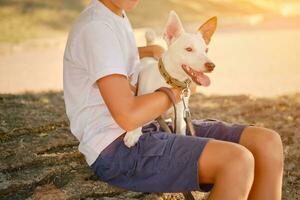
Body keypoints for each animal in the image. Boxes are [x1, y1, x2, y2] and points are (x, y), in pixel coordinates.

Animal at [123, 11, 217, 148]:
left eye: (206, 50)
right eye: (189, 49)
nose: (212, 65)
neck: (168, 83)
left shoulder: (180, 113)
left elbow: (180, 127)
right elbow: (138, 116)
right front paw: (133, 133)